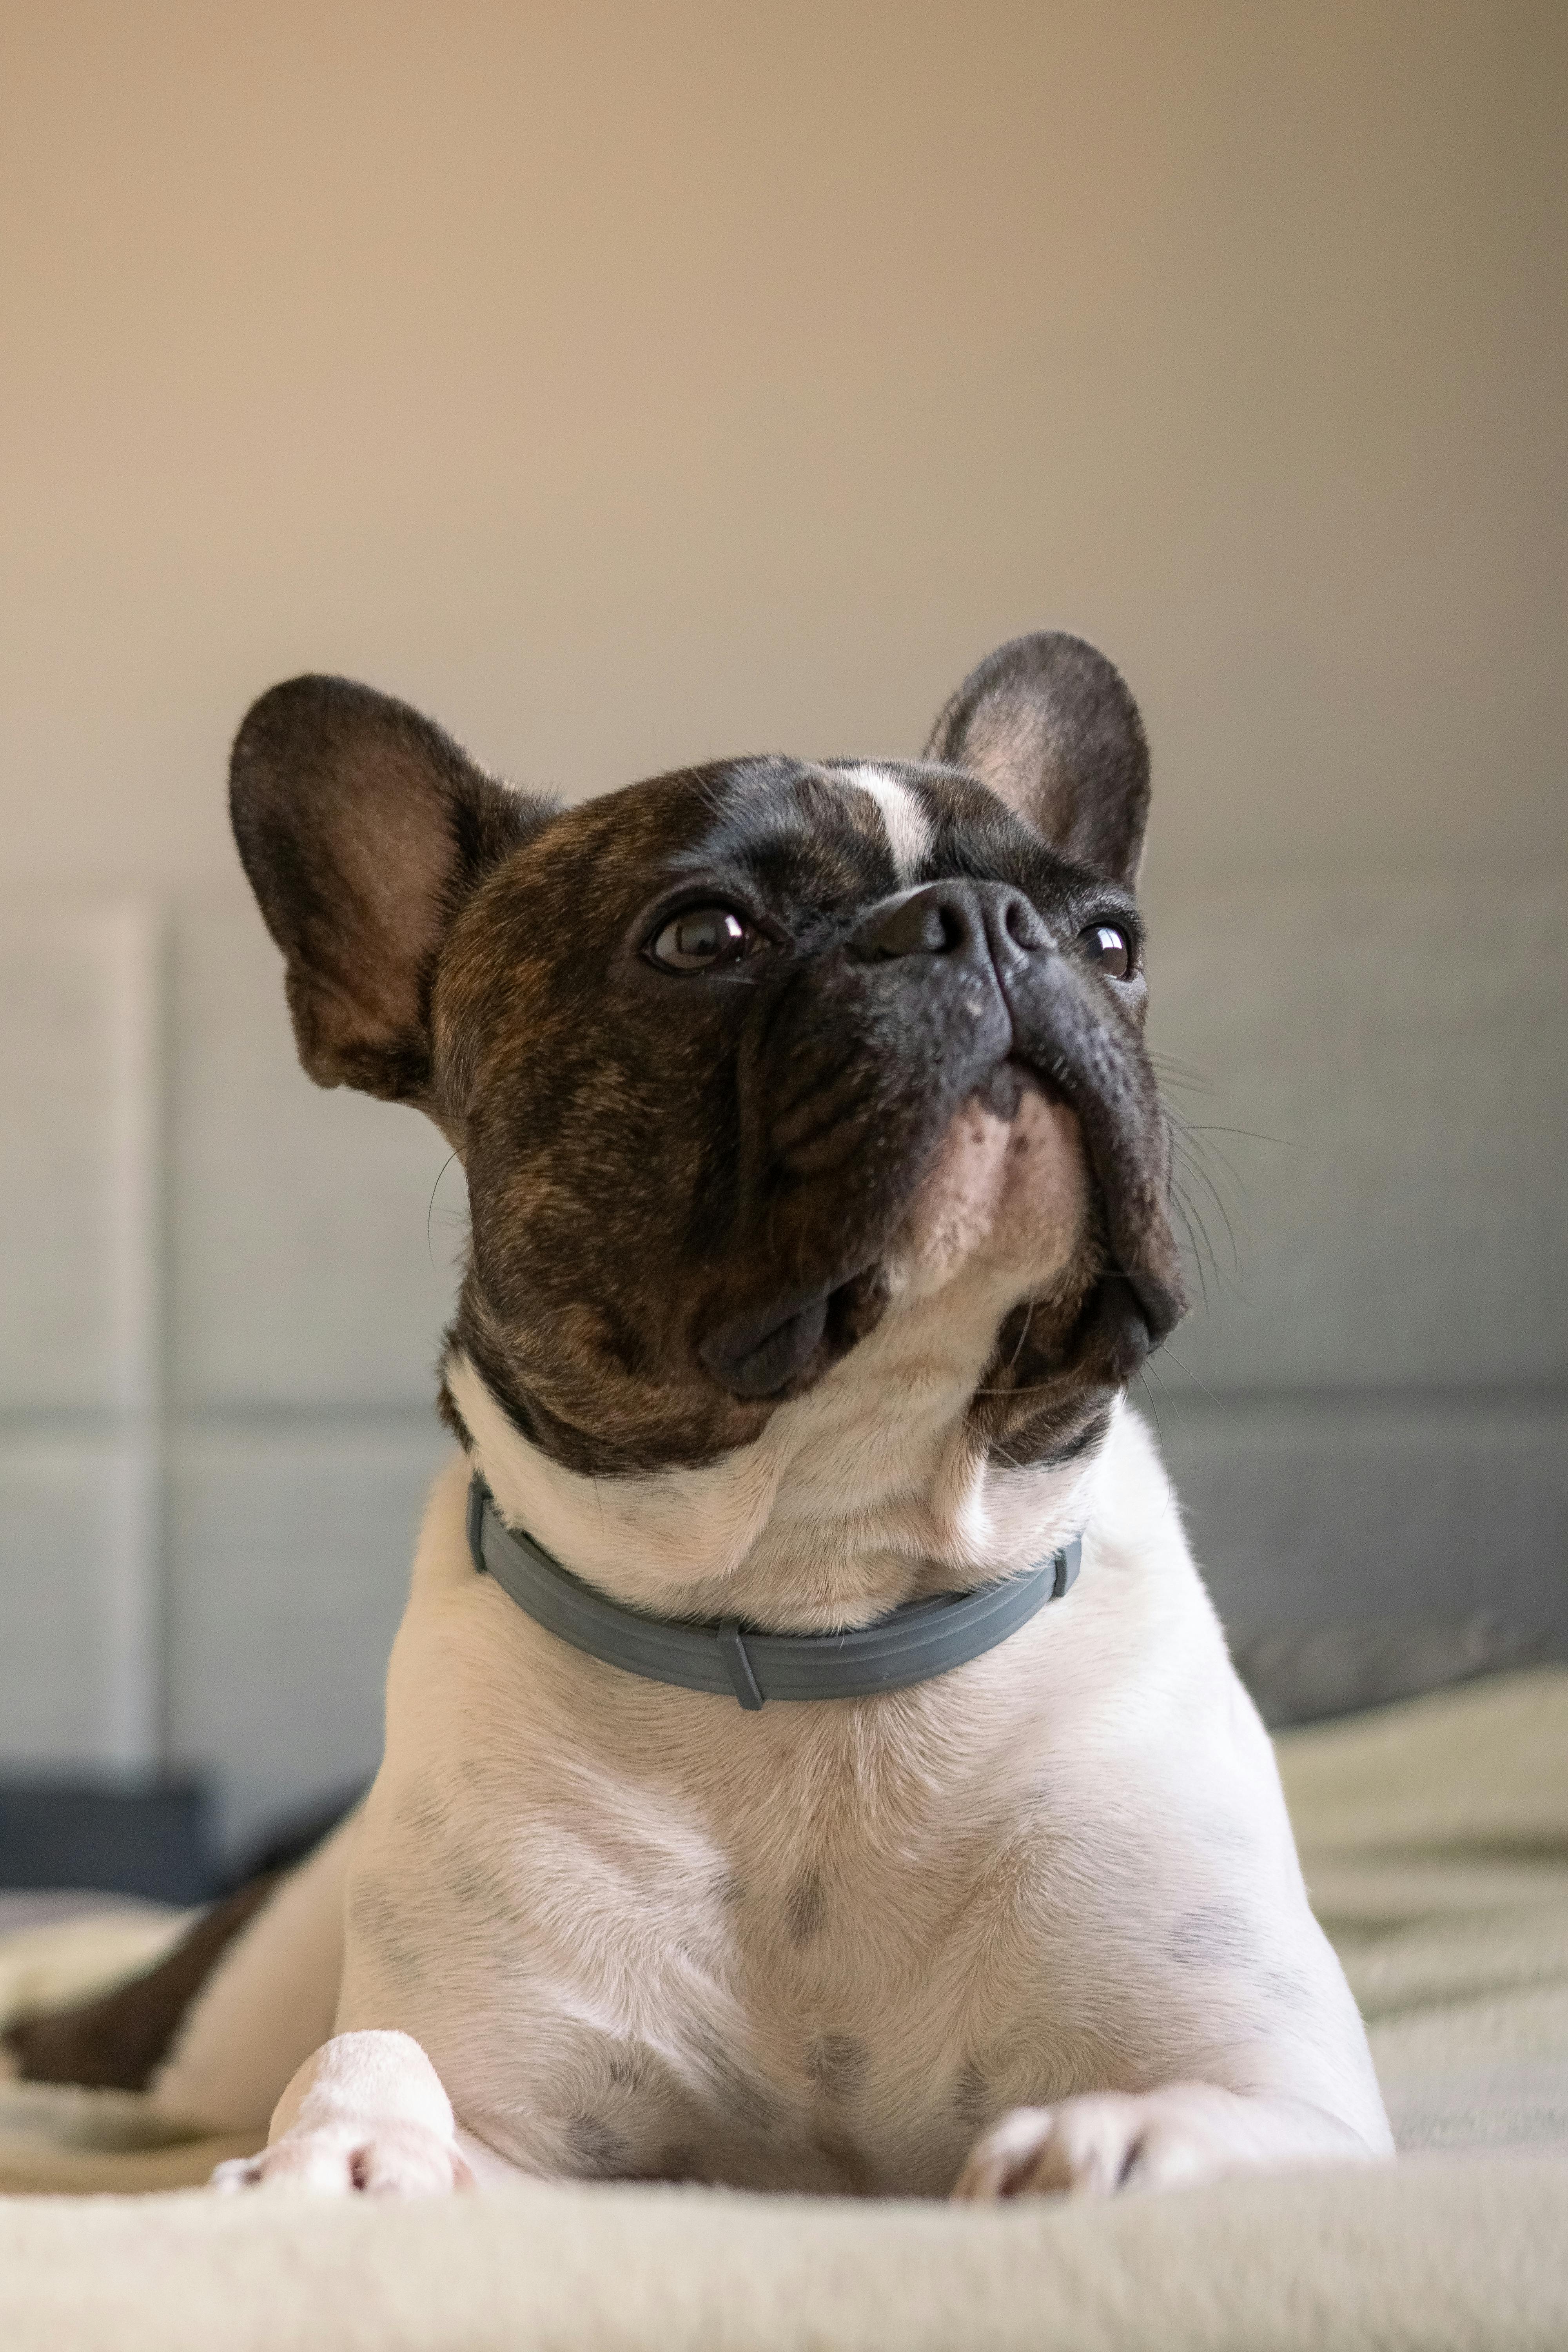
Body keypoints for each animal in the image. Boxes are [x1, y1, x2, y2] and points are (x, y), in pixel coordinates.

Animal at [9, 635, 1382, 2192]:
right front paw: (350, 2146)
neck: (820, 1601)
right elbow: (382, 2065)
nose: (985, 919)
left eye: (1109, 942)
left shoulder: (1289, 2084)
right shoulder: (524, 2133)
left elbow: (1207, 2117)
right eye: (703, 936)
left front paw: (1107, 2139)